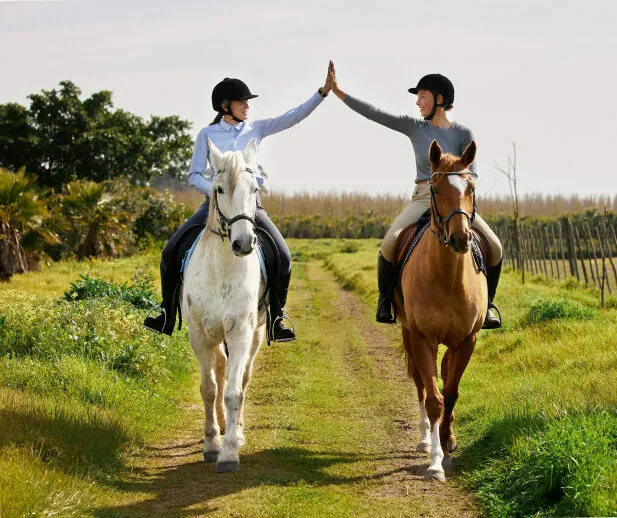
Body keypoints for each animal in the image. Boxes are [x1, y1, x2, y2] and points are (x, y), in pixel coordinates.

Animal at [178, 139, 264, 476]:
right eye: (218, 189)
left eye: (255, 188)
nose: (243, 244)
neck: (224, 269)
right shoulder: (199, 336)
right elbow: (209, 388)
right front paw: (212, 443)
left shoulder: (240, 332)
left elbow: (233, 391)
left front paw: (229, 452)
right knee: (219, 368)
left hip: (255, 335)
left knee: (242, 376)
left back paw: (236, 430)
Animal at [394, 139, 486, 484]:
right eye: (435, 188)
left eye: (471, 187)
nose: (461, 238)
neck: (448, 278)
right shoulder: (422, 338)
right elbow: (433, 398)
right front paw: (435, 461)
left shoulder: (467, 340)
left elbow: (451, 392)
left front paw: (447, 442)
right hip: (408, 333)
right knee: (422, 384)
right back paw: (424, 439)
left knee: (445, 375)